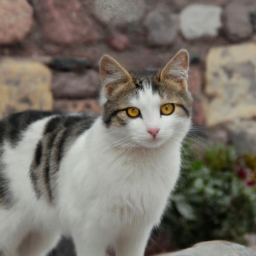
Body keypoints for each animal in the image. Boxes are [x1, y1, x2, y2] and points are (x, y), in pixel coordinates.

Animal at [0, 50, 192, 256]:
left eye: (167, 108)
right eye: (132, 111)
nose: (153, 130)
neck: (142, 162)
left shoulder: (136, 232)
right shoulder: (89, 231)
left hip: (38, 235)